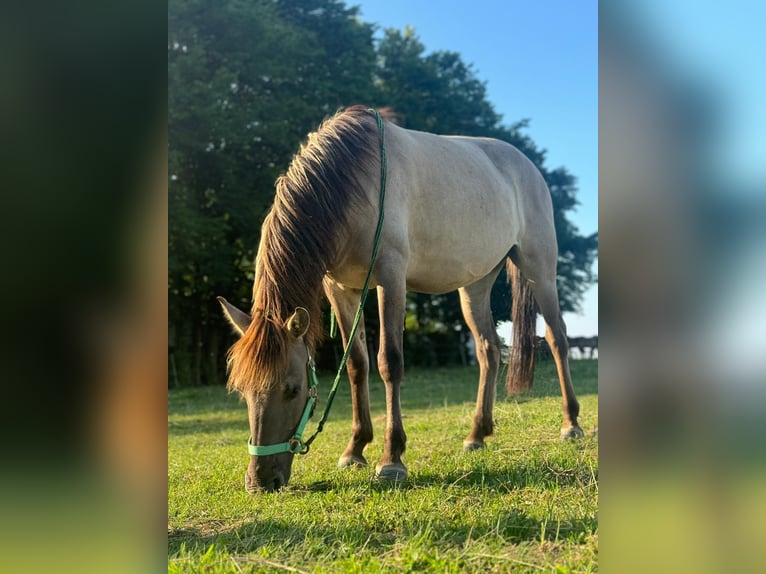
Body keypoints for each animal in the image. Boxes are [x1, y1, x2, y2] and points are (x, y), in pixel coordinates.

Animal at [218, 108, 584, 496]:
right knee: (488, 349)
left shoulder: (389, 277)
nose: (260, 481)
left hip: (539, 269)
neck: (352, 180)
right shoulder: (340, 289)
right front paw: (355, 450)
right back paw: (476, 435)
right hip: (476, 284)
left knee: (557, 339)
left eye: (292, 389)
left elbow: (389, 362)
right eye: (241, 392)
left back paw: (571, 424)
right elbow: (356, 364)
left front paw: (391, 460)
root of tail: (527, 165)